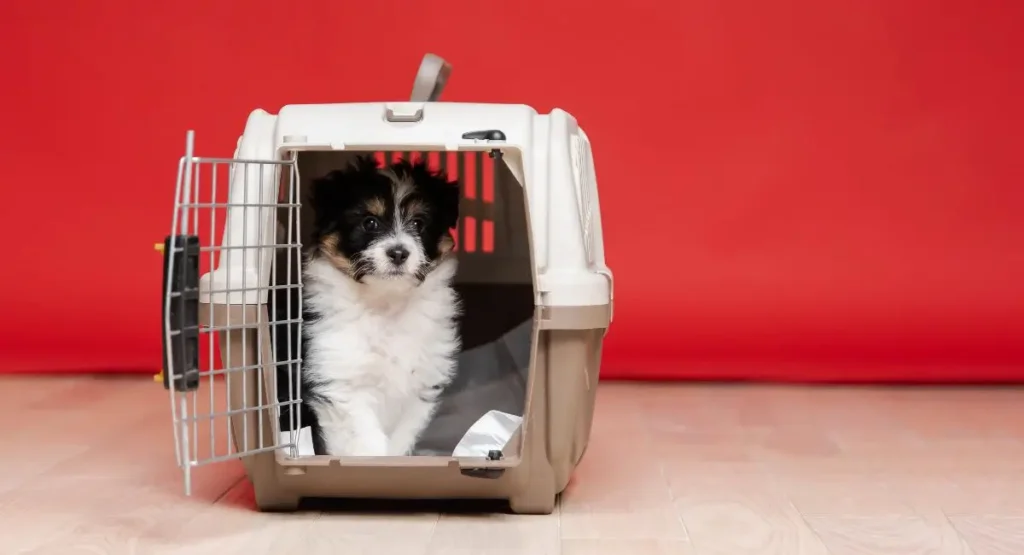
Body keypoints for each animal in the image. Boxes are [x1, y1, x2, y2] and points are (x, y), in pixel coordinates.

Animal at [299, 153, 460, 456]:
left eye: (418, 224)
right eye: (370, 223)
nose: (398, 252)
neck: (386, 303)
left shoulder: (419, 389)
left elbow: (398, 443)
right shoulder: (342, 386)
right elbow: (368, 445)